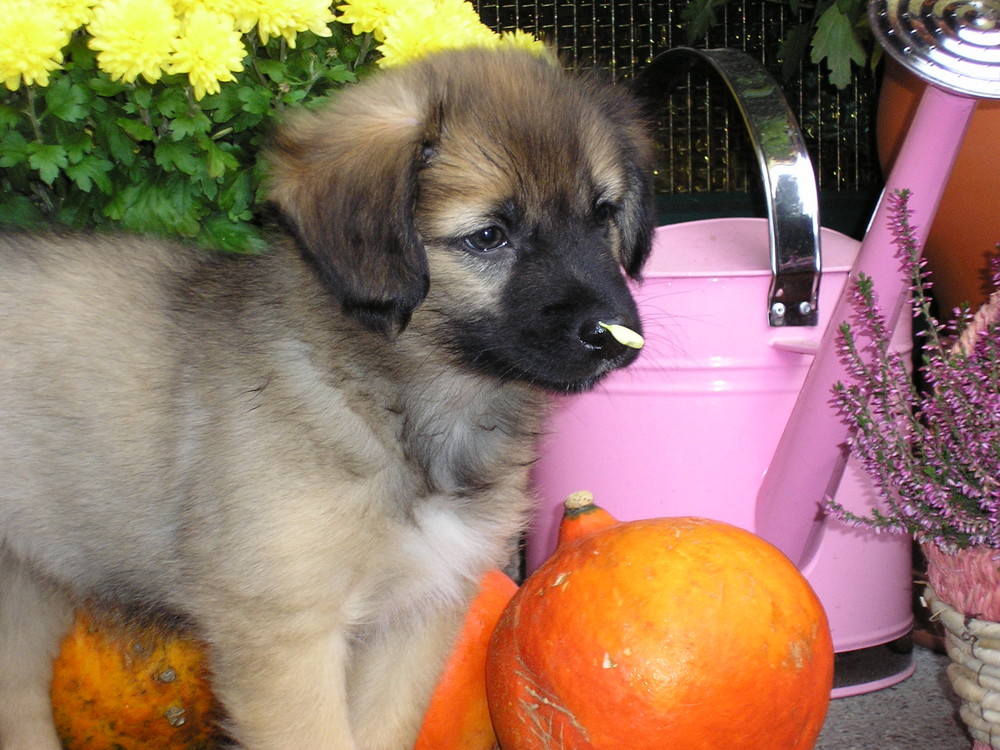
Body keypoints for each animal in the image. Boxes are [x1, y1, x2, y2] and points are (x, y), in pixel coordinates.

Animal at [0, 48, 656, 750]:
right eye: (488, 236)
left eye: (602, 214)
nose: (613, 333)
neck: (401, 411)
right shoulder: (286, 628)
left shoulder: (417, 613)